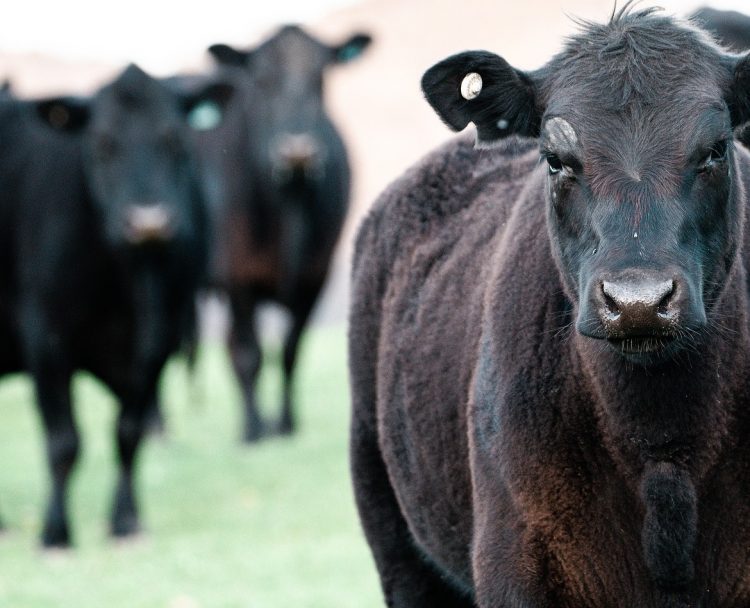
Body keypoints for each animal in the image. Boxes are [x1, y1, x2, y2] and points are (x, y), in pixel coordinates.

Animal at [0, 64, 230, 547]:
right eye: (103, 143)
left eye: (174, 139)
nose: (148, 221)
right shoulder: (45, 338)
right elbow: (63, 442)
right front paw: (55, 533)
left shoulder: (159, 342)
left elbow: (129, 433)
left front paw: (125, 521)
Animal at [202, 25, 371, 441]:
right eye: (262, 79)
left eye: (321, 75)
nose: (297, 147)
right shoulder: (236, 276)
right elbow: (249, 352)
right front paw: (253, 430)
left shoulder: (316, 275)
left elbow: (292, 349)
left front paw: (285, 423)